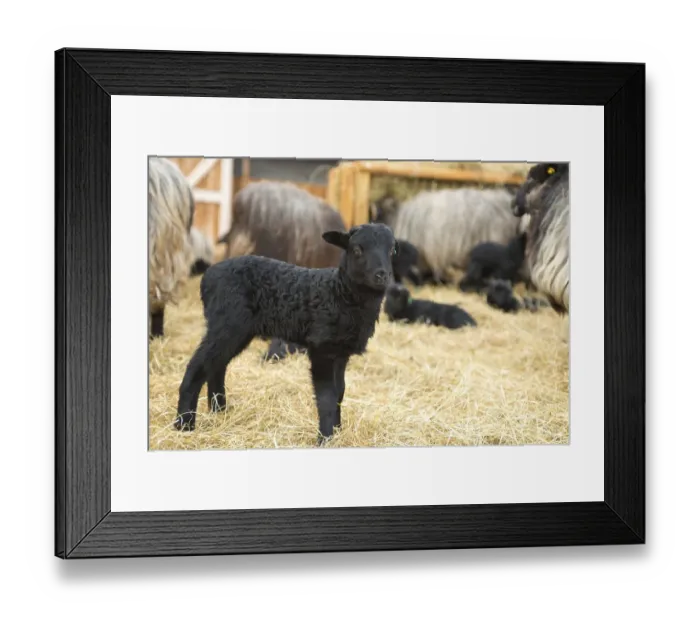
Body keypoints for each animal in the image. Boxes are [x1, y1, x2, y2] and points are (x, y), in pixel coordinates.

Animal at [174, 222, 397, 443]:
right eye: (357, 249)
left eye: (392, 250)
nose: (382, 275)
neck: (340, 294)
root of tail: (208, 276)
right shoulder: (322, 348)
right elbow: (327, 396)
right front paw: (325, 437)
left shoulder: (341, 353)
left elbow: (340, 391)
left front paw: (337, 430)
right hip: (226, 324)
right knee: (197, 366)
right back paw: (184, 424)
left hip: (236, 331)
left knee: (217, 366)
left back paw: (219, 411)